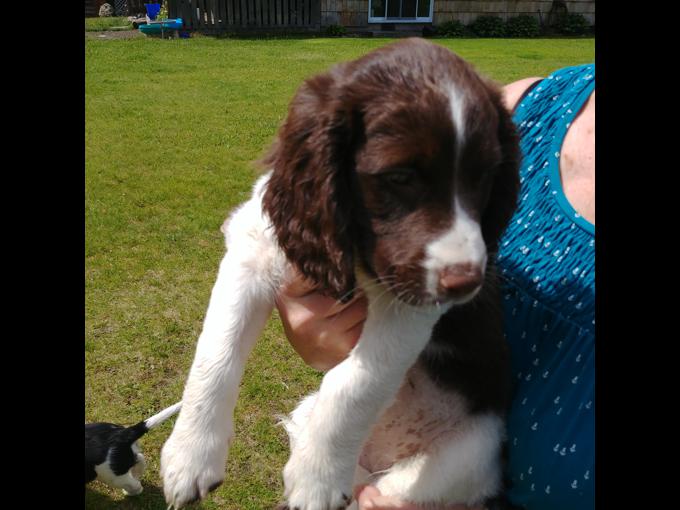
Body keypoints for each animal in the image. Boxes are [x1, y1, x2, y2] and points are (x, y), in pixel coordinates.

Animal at [161, 38, 520, 510]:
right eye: (399, 177)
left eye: (485, 177)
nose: (468, 284)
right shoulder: (252, 249)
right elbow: (214, 353)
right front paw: (189, 456)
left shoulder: (412, 301)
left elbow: (356, 381)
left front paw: (317, 479)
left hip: (463, 459)